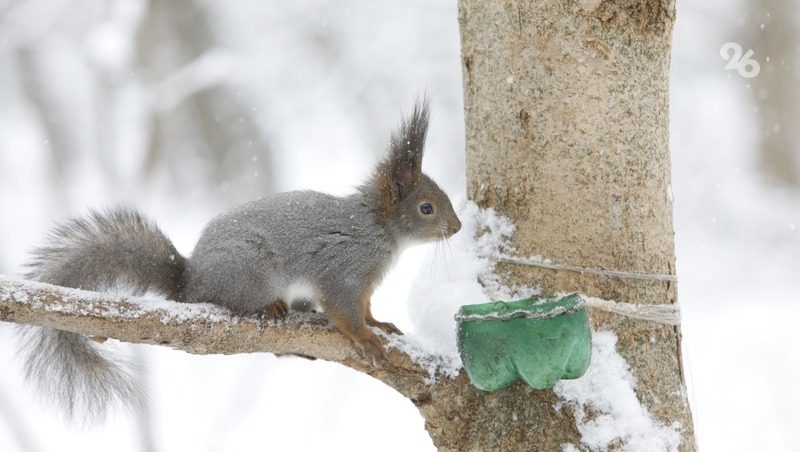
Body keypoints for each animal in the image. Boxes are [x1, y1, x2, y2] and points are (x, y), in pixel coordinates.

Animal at [15, 99, 462, 420]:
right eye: (426, 208)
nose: (457, 226)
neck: (378, 228)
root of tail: (190, 281)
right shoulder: (344, 270)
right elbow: (345, 312)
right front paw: (368, 340)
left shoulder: (364, 284)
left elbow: (365, 308)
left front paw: (379, 324)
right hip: (250, 269)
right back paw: (269, 307)